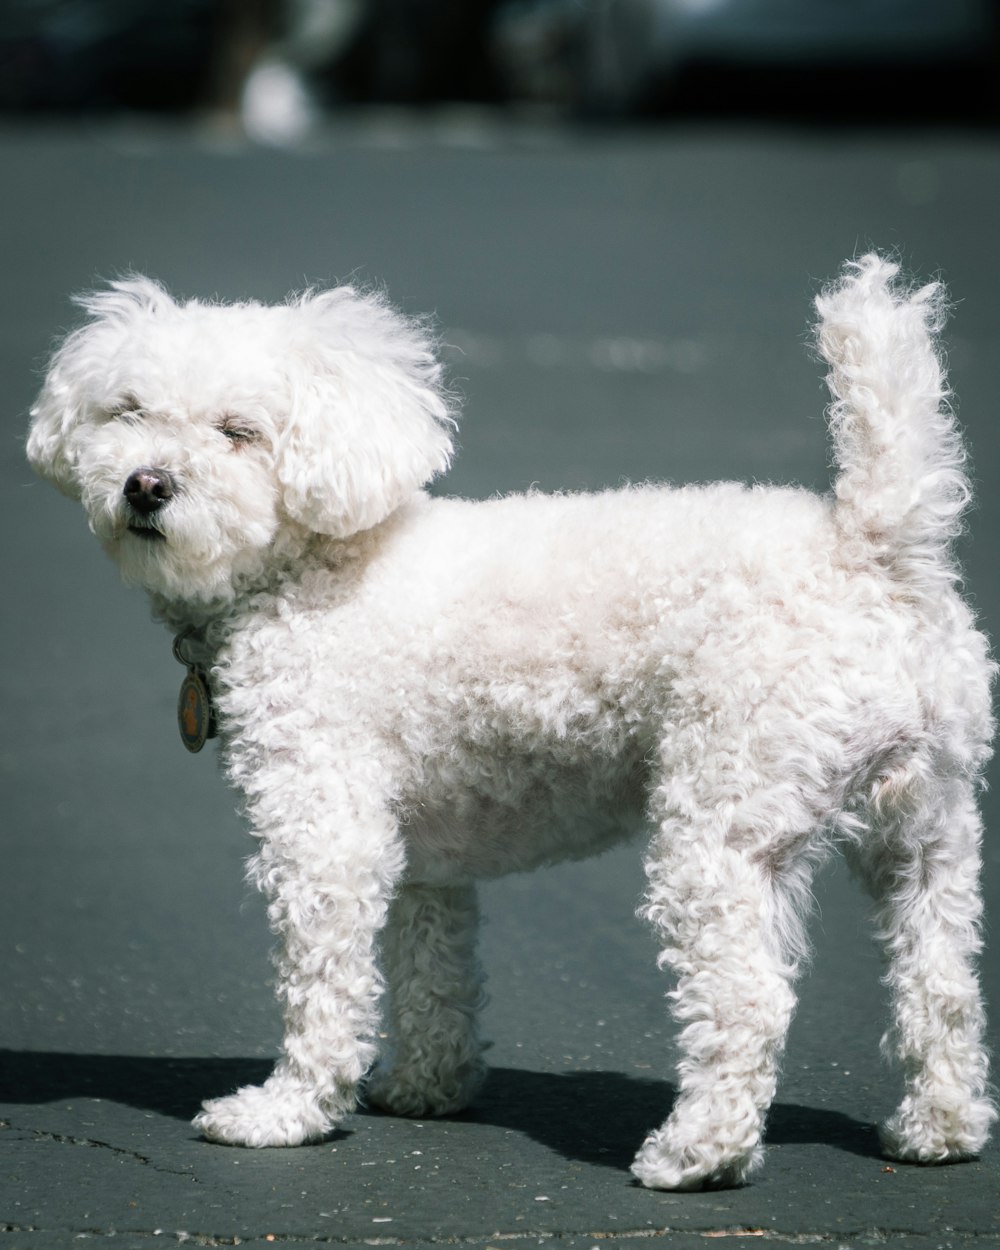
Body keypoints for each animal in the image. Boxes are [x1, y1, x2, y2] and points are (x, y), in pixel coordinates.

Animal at [27, 256, 995, 1190]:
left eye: (239, 431)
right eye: (127, 410)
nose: (145, 485)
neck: (312, 564)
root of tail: (868, 547)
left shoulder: (324, 827)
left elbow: (324, 983)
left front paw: (286, 1111)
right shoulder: (425, 856)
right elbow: (431, 971)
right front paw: (428, 1088)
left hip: (724, 820)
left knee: (748, 999)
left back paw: (697, 1156)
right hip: (927, 825)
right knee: (941, 983)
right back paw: (939, 1132)